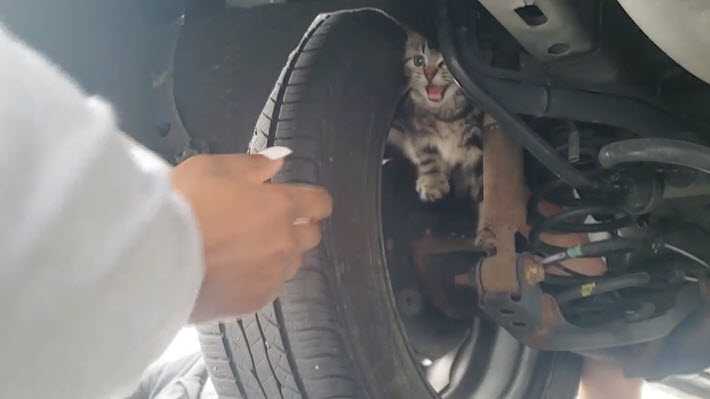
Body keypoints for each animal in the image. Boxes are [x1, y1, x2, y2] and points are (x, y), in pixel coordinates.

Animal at [390, 30, 484, 203]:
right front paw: (432, 182)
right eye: (419, 61)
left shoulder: (474, 127)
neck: (444, 113)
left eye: (444, 62)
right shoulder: (418, 130)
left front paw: (479, 185)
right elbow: (427, 154)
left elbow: (477, 157)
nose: (429, 74)